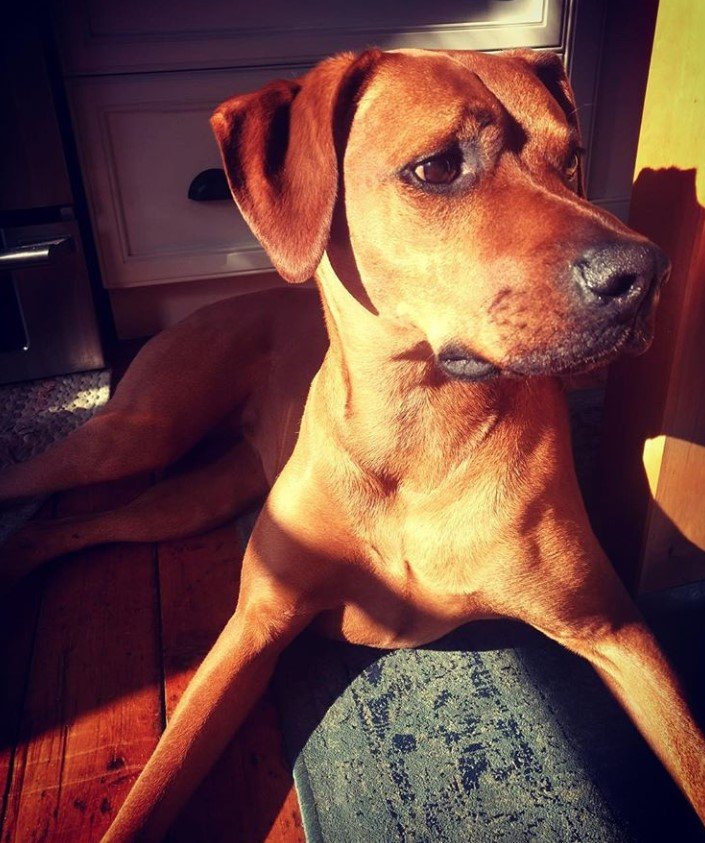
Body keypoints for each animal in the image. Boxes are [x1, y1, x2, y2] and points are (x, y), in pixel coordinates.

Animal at [1, 49, 704, 840]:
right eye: (437, 167)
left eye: (573, 156)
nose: (646, 273)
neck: (417, 430)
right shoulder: (253, 627)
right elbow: (153, 786)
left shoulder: (614, 628)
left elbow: (692, 756)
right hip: (136, 435)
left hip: (194, 495)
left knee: (70, 526)